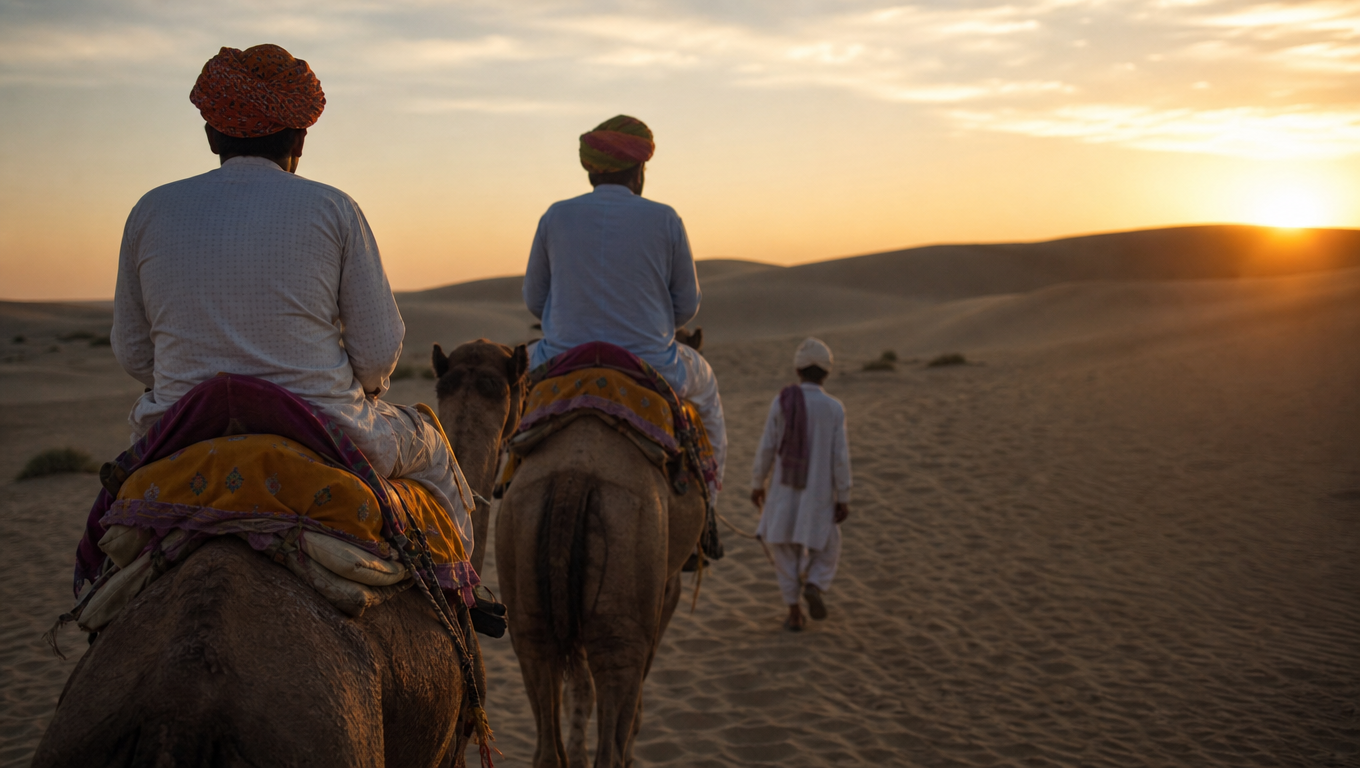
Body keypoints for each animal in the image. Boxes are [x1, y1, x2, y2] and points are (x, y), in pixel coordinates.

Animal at [487, 333, 709, 768]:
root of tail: (573, 479)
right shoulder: (668, 587)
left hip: (525, 601)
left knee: (545, 736)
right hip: (620, 622)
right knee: (613, 721)